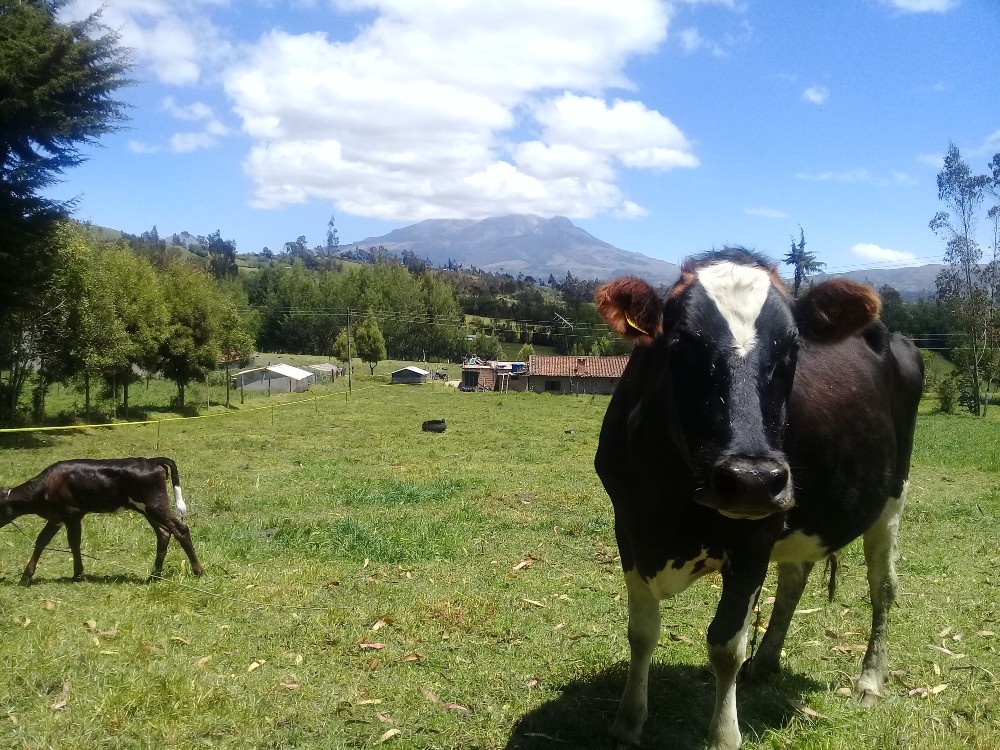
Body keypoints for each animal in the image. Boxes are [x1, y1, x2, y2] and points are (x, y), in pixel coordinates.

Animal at [0, 458, 205, 588]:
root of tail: (152, 460)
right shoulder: (56, 518)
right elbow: (41, 541)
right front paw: (26, 576)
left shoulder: (72, 514)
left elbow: (74, 543)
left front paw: (77, 574)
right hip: (146, 508)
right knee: (163, 533)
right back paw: (154, 575)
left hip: (155, 504)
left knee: (180, 529)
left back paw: (198, 570)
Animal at [592, 250, 920, 750]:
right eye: (680, 345)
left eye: (793, 349)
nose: (751, 479)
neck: (671, 507)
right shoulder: (629, 527)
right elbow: (642, 632)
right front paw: (628, 722)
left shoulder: (754, 537)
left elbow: (725, 645)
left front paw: (724, 735)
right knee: (794, 580)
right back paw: (765, 663)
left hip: (889, 498)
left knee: (882, 587)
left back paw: (868, 680)